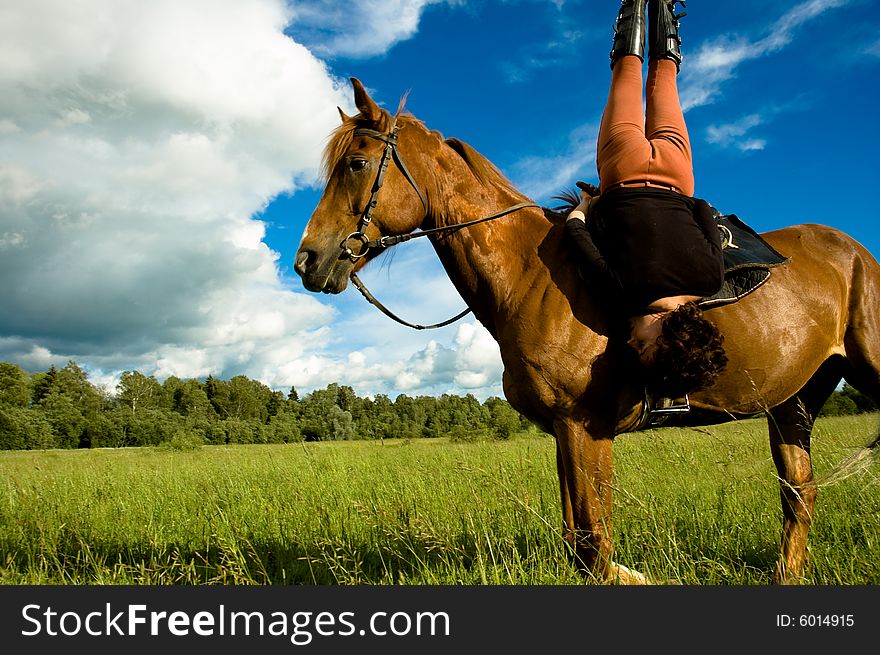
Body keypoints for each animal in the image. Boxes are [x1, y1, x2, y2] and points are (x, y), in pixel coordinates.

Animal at [298, 79, 880, 588]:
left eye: (356, 164)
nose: (308, 261)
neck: (533, 276)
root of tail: (854, 252)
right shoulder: (563, 431)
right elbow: (578, 542)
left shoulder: (586, 428)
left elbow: (594, 545)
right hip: (792, 404)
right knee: (799, 494)